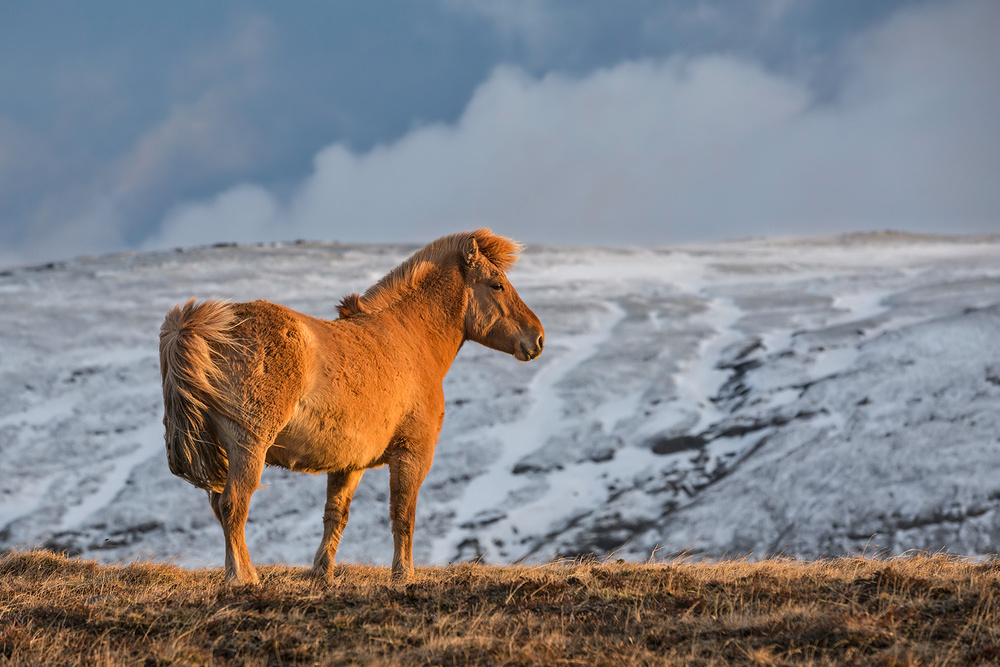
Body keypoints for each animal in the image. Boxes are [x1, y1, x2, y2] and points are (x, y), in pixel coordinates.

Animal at [159, 230, 544, 584]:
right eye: (497, 285)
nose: (537, 338)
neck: (409, 338)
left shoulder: (349, 464)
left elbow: (336, 515)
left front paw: (322, 572)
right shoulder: (412, 454)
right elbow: (403, 514)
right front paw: (403, 574)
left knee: (220, 507)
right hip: (247, 447)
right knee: (233, 505)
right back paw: (243, 577)